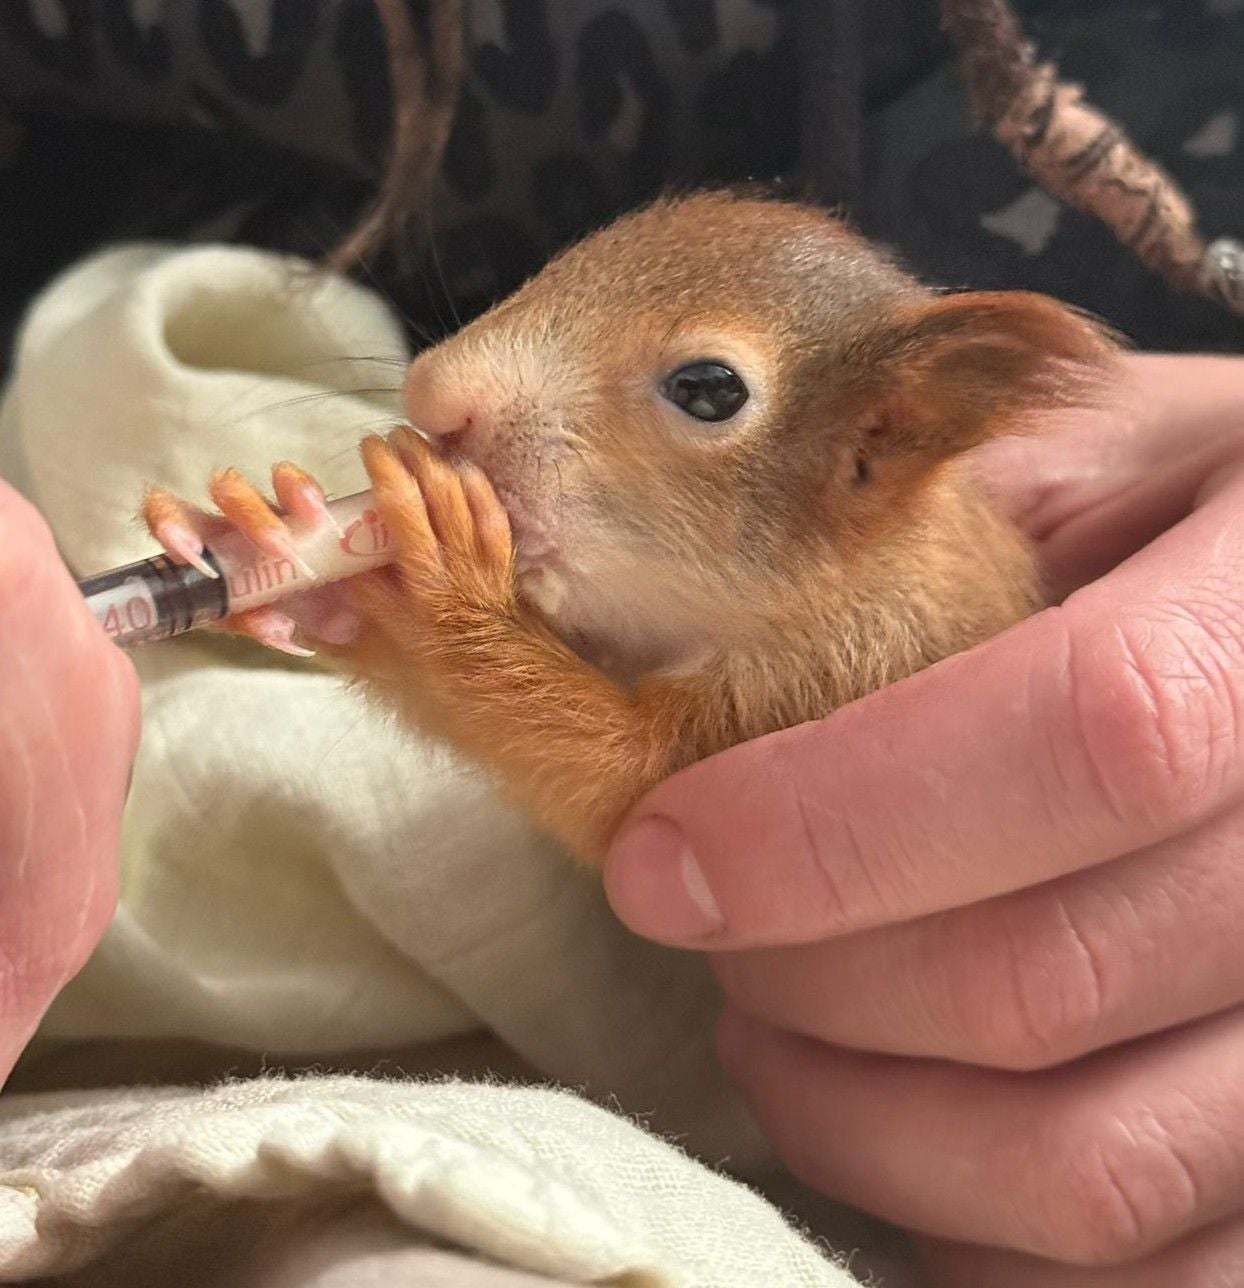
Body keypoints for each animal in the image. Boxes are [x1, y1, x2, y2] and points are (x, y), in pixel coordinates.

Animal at [143, 192, 1118, 864]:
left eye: (710, 389)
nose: (436, 398)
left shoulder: (816, 689)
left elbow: (614, 776)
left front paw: (445, 566)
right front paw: (266, 542)